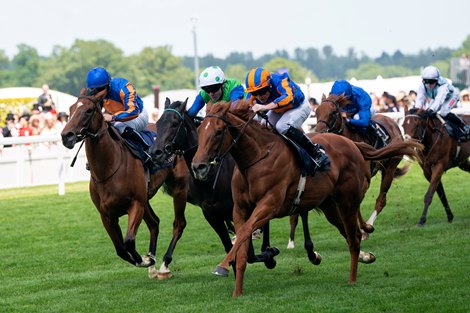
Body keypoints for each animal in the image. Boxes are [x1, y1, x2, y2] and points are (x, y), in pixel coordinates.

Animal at [60, 88, 189, 278]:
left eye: (89, 110)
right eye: (70, 109)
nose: (66, 136)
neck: (108, 169)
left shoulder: (135, 204)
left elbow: (128, 241)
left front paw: (144, 260)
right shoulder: (106, 215)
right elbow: (120, 249)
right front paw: (146, 260)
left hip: (178, 189)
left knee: (178, 224)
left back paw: (164, 265)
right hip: (146, 198)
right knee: (154, 223)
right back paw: (152, 263)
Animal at [316, 93, 412, 239]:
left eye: (333, 112)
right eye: (316, 112)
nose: (318, 132)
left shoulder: (363, 182)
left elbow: (356, 205)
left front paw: (365, 228)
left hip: (390, 167)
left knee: (381, 199)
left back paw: (370, 224)